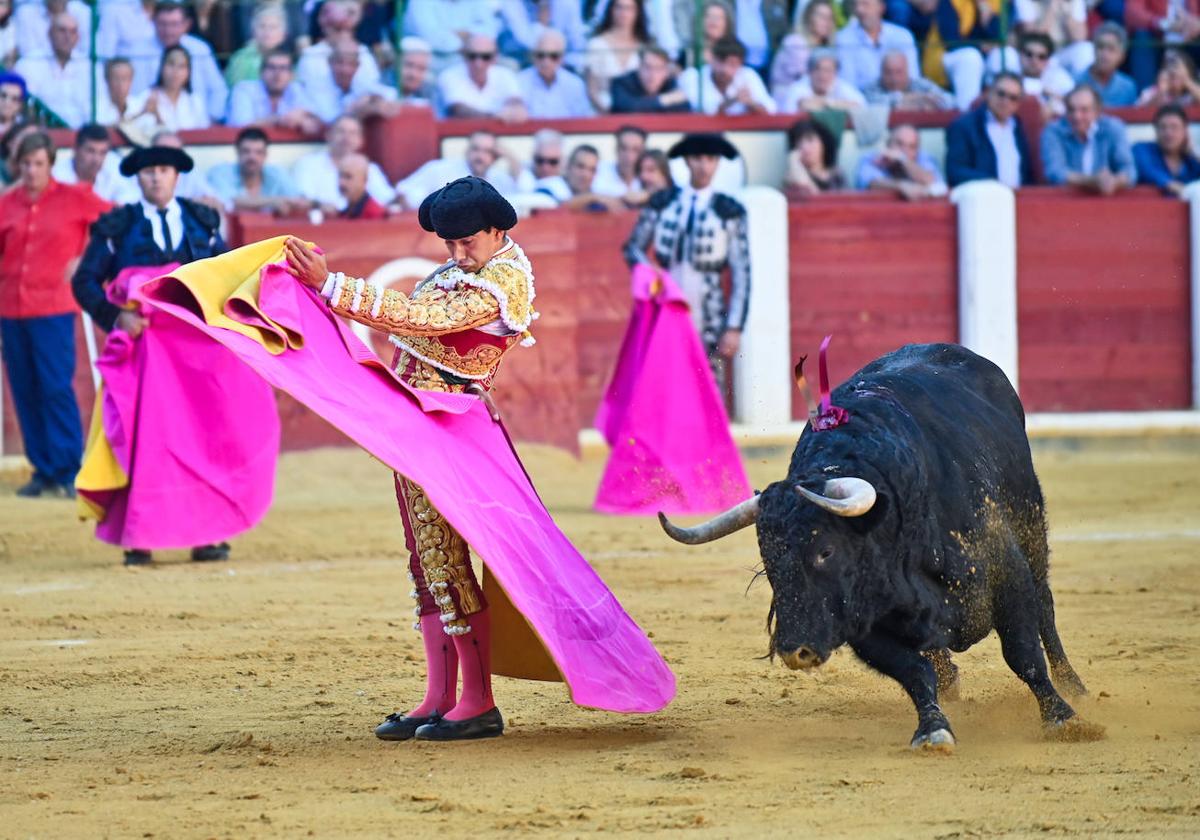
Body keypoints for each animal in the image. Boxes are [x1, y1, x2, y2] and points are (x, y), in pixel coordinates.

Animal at [662, 345, 1099, 753]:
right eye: (769, 561)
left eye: (825, 551)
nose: (793, 651)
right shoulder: (864, 623)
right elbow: (914, 672)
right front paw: (933, 728)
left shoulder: (1006, 572)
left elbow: (1023, 653)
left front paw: (1063, 718)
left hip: (1031, 528)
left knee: (1045, 609)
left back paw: (1074, 686)